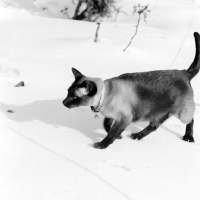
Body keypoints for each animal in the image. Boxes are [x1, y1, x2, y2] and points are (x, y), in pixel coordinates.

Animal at [63, 32, 200, 148]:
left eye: (74, 97)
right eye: (68, 93)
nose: (64, 103)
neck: (104, 97)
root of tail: (184, 73)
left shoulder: (125, 118)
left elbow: (112, 133)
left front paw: (102, 145)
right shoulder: (113, 116)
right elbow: (106, 126)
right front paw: (119, 137)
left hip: (182, 114)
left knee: (191, 119)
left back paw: (188, 137)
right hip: (157, 113)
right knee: (154, 126)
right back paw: (137, 136)